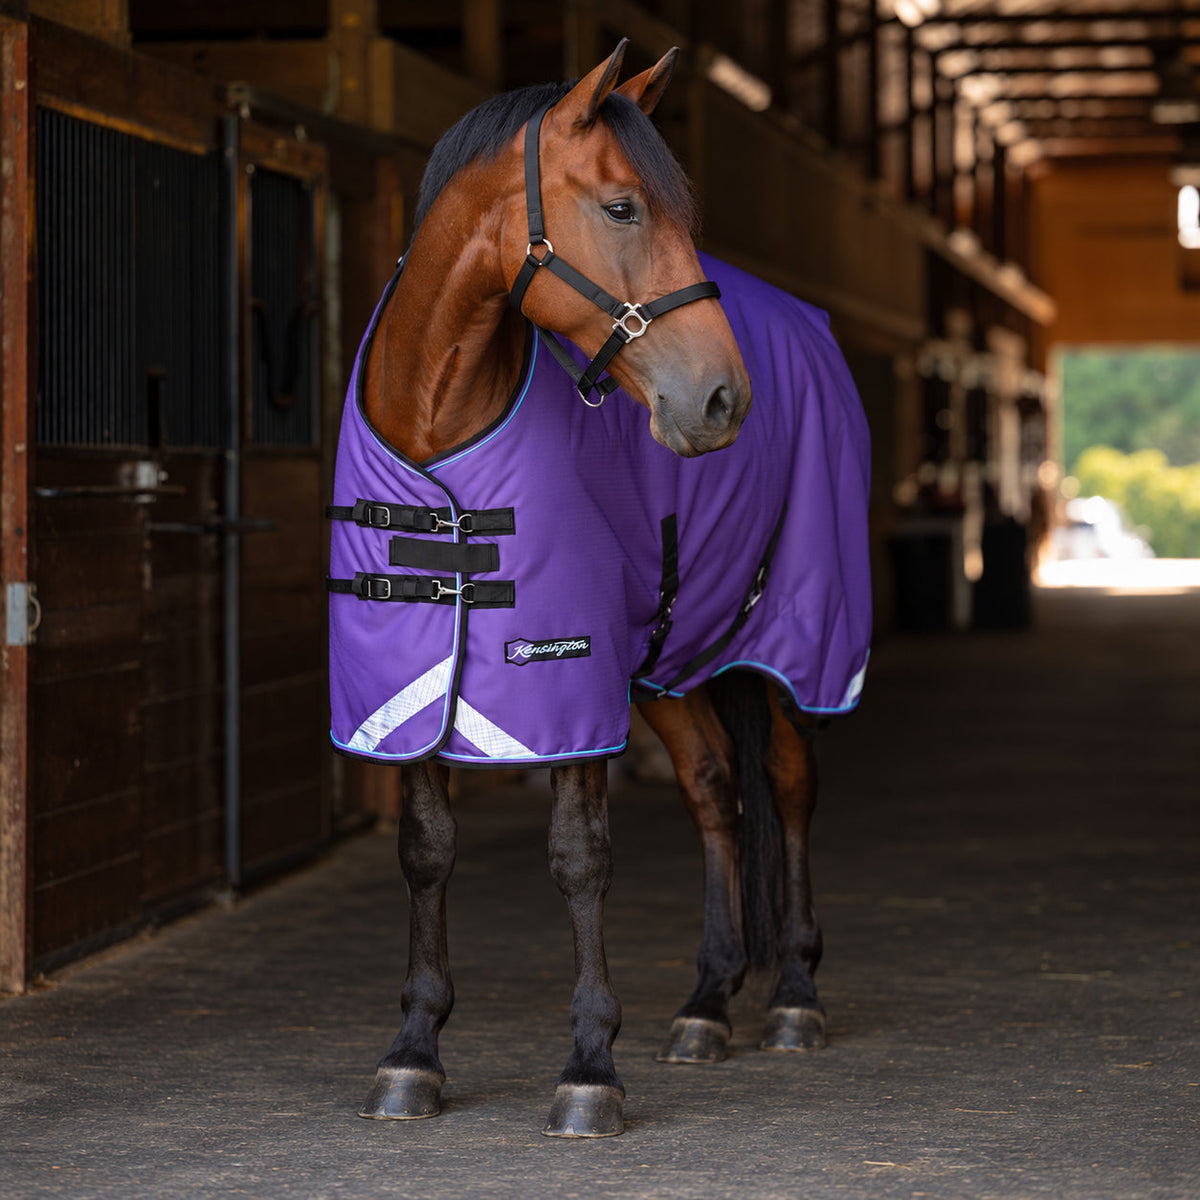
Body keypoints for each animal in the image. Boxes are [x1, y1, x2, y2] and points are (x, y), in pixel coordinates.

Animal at [326, 40, 872, 1137]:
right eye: (623, 207)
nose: (722, 400)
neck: (440, 436)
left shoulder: (567, 685)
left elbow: (579, 857)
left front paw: (589, 1068)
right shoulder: (402, 688)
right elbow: (425, 849)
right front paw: (413, 1051)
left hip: (796, 644)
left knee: (789, 785)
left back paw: (793, 995)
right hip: (670, 660)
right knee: (713, 791)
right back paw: (707, 1004)